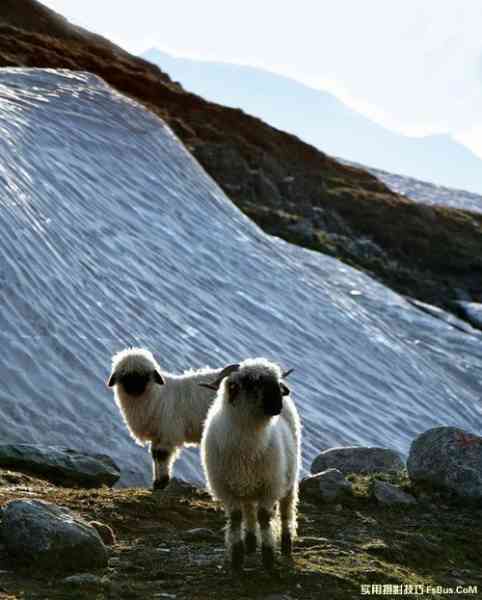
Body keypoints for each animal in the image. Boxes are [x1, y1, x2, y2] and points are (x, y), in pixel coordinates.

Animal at [107, 350, 239, 490]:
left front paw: (162, 482)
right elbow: (155, 455)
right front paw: (157, 482)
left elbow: (161, 455)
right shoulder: (157, 436)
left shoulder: (167, 434)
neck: (157, 396)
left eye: (145, 375)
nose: (135, 388)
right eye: (124, 375)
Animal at [201, 358, 302, 568]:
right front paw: (237, 558)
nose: (278, 404)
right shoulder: (226, 489)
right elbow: (235, 518)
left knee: (286, 512)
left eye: (275, 380)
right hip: (246, 487)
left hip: (289, 481)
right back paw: (249, 544)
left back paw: (286, 545)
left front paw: (268, 557)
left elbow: (264, 518)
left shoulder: (270, 487)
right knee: (248, 512)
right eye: (250, 382)